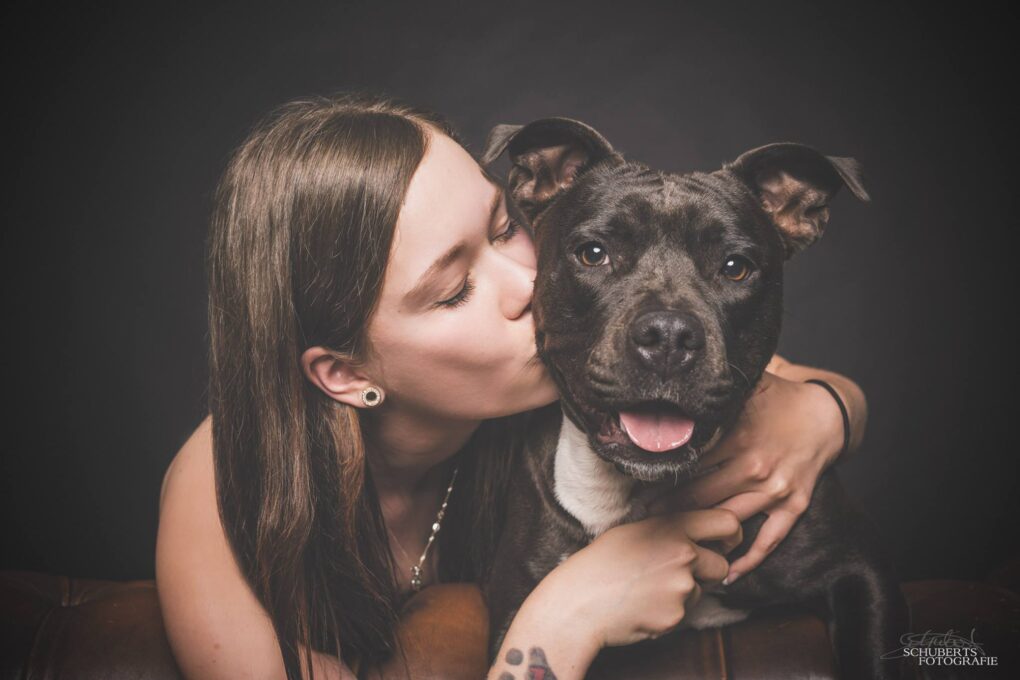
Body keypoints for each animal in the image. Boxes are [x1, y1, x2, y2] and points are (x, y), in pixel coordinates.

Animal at [479, 119, 909, 676]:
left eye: (735, 266)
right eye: (594, 253)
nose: (668, 335)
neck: (637, 494)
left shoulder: (861, 571)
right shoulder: (522, 609)